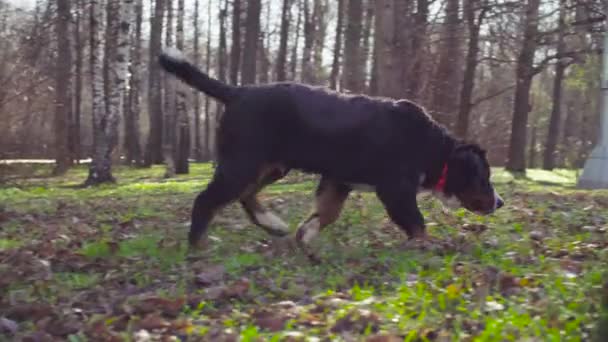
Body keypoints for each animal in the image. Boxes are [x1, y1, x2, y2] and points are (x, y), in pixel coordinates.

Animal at [158, 46, 504, 258]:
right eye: (484, 177)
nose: (500, 202)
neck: (431, 147)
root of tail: (237, 92)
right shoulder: (395, 190)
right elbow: (417, 224)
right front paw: (430, 248)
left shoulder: (338, 181)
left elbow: (326, 213)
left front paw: (305, 237)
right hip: (243, 163)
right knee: (206, 201)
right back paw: (199, 247)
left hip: (270, 165)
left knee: (246, 195)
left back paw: (273, 224)